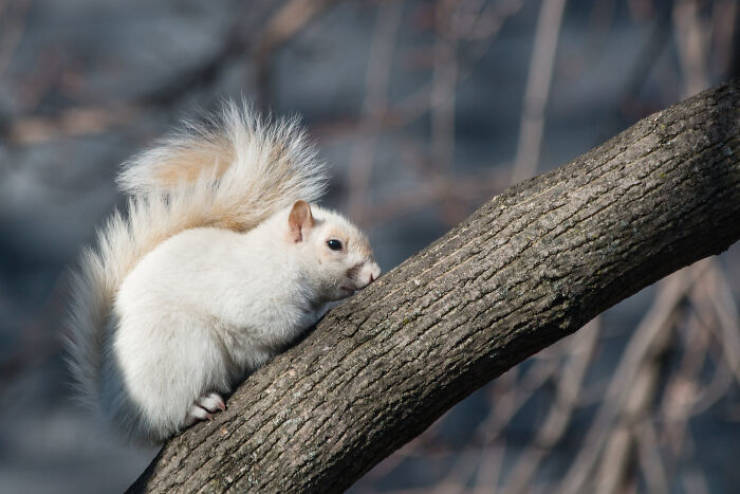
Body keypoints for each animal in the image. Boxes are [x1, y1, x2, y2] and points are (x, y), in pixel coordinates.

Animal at [66, 102, 382, 442]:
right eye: (334, 244)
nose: (374, 273)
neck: (279, 257)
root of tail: (115, 410)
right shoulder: (254, 299)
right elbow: (276, 325)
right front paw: (312, 316)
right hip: (187, 351)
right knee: (167, 417)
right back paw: (197, 407)